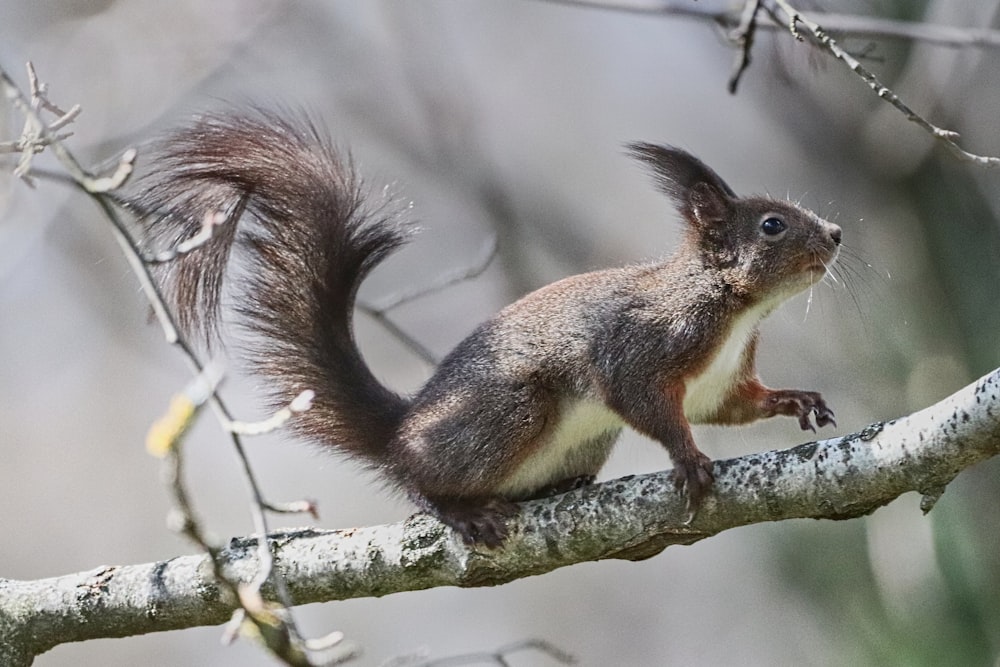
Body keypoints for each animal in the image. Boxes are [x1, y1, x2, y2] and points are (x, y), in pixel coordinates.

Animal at [127, 108, 844, 548]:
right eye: (772, 225)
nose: (837, 233)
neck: (738, 310)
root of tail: (401, 427)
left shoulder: (719, 381)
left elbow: (734, 406)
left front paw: (796, 400)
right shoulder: (645, 342)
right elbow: (644, 400)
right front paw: (688, 458)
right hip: (510, 412)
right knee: (417, 478)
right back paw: (458, 508)